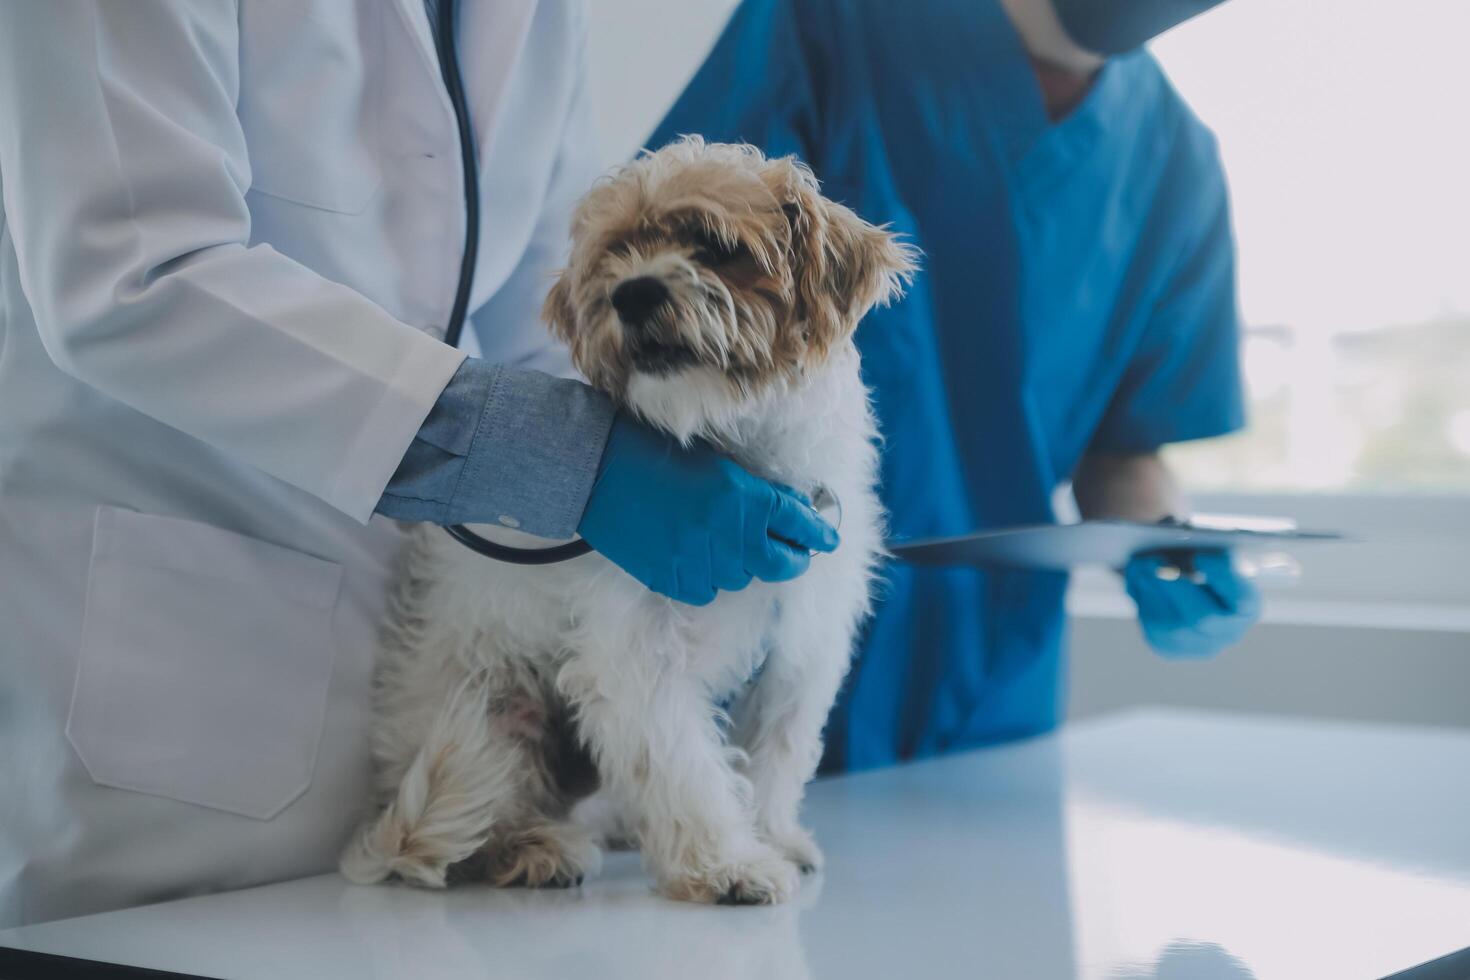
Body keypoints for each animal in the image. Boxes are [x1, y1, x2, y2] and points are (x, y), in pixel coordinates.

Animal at [345, 135, 917, 905]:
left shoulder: (799, 647)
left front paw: (771, 836)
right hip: (490, 720)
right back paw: (535, 848)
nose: (633, 291)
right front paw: (725, 863)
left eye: (717, 245)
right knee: (463, 835)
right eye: (615, 255)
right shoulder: (638, 658)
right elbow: (684, 767)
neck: (737, 452)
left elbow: (775, 755)